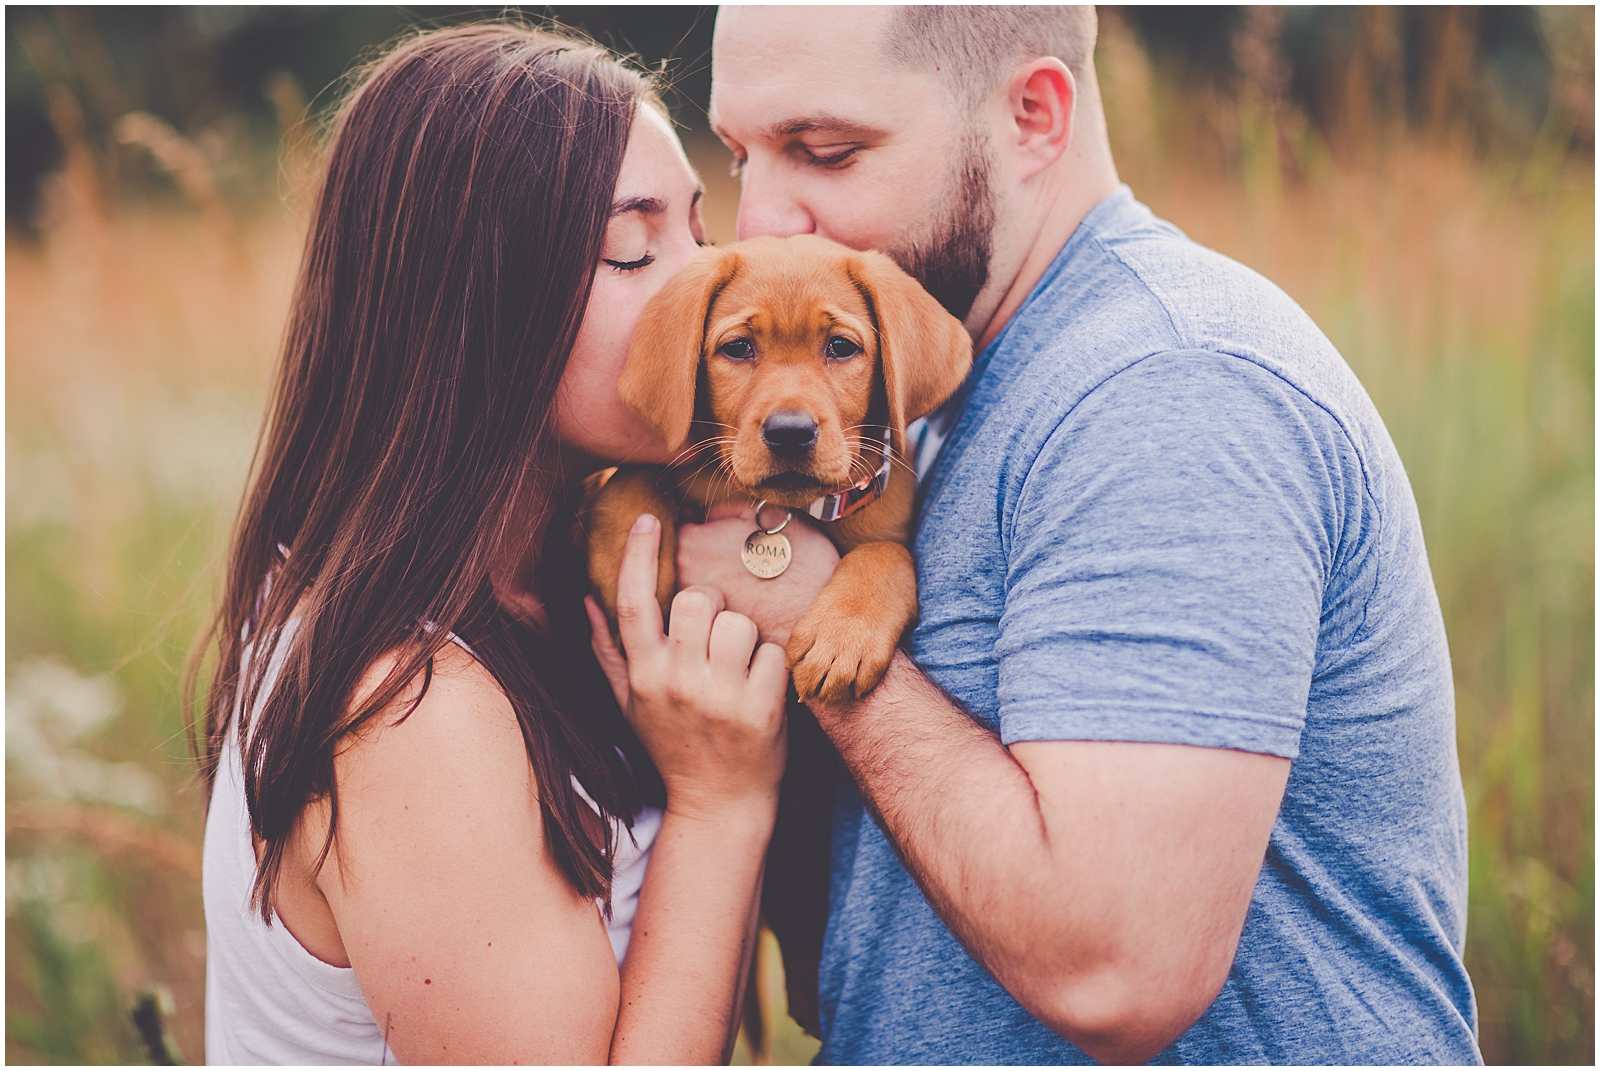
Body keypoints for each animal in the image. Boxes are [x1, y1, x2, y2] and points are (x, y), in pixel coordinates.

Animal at [582, 230, 966, 704]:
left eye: (841, 347)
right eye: (738, 348)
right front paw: (625, 562)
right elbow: (635, 475)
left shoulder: (885, 521)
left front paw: (844, 634)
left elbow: (888, 554)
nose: (790, 432)